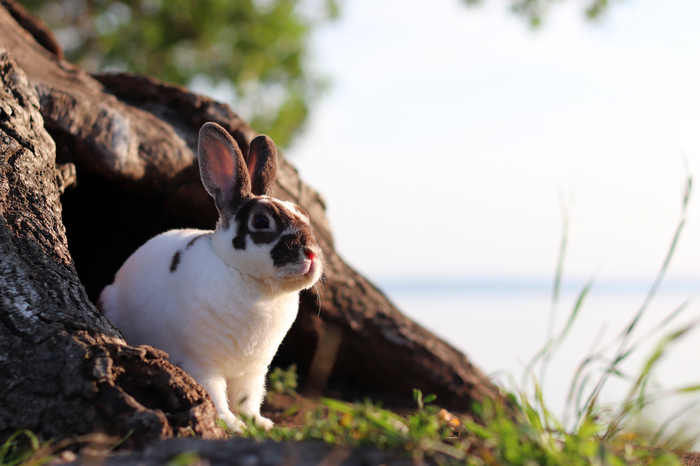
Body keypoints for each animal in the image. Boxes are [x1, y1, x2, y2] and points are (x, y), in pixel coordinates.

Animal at [99, 122, 324, 433]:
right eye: (261, 221)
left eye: (303, 215)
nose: (312, 254)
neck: (258, 288)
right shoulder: (203, 363)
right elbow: (215, 394)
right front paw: (232, 424)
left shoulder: (253, 371)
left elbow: (248, 398)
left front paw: (259, 423)